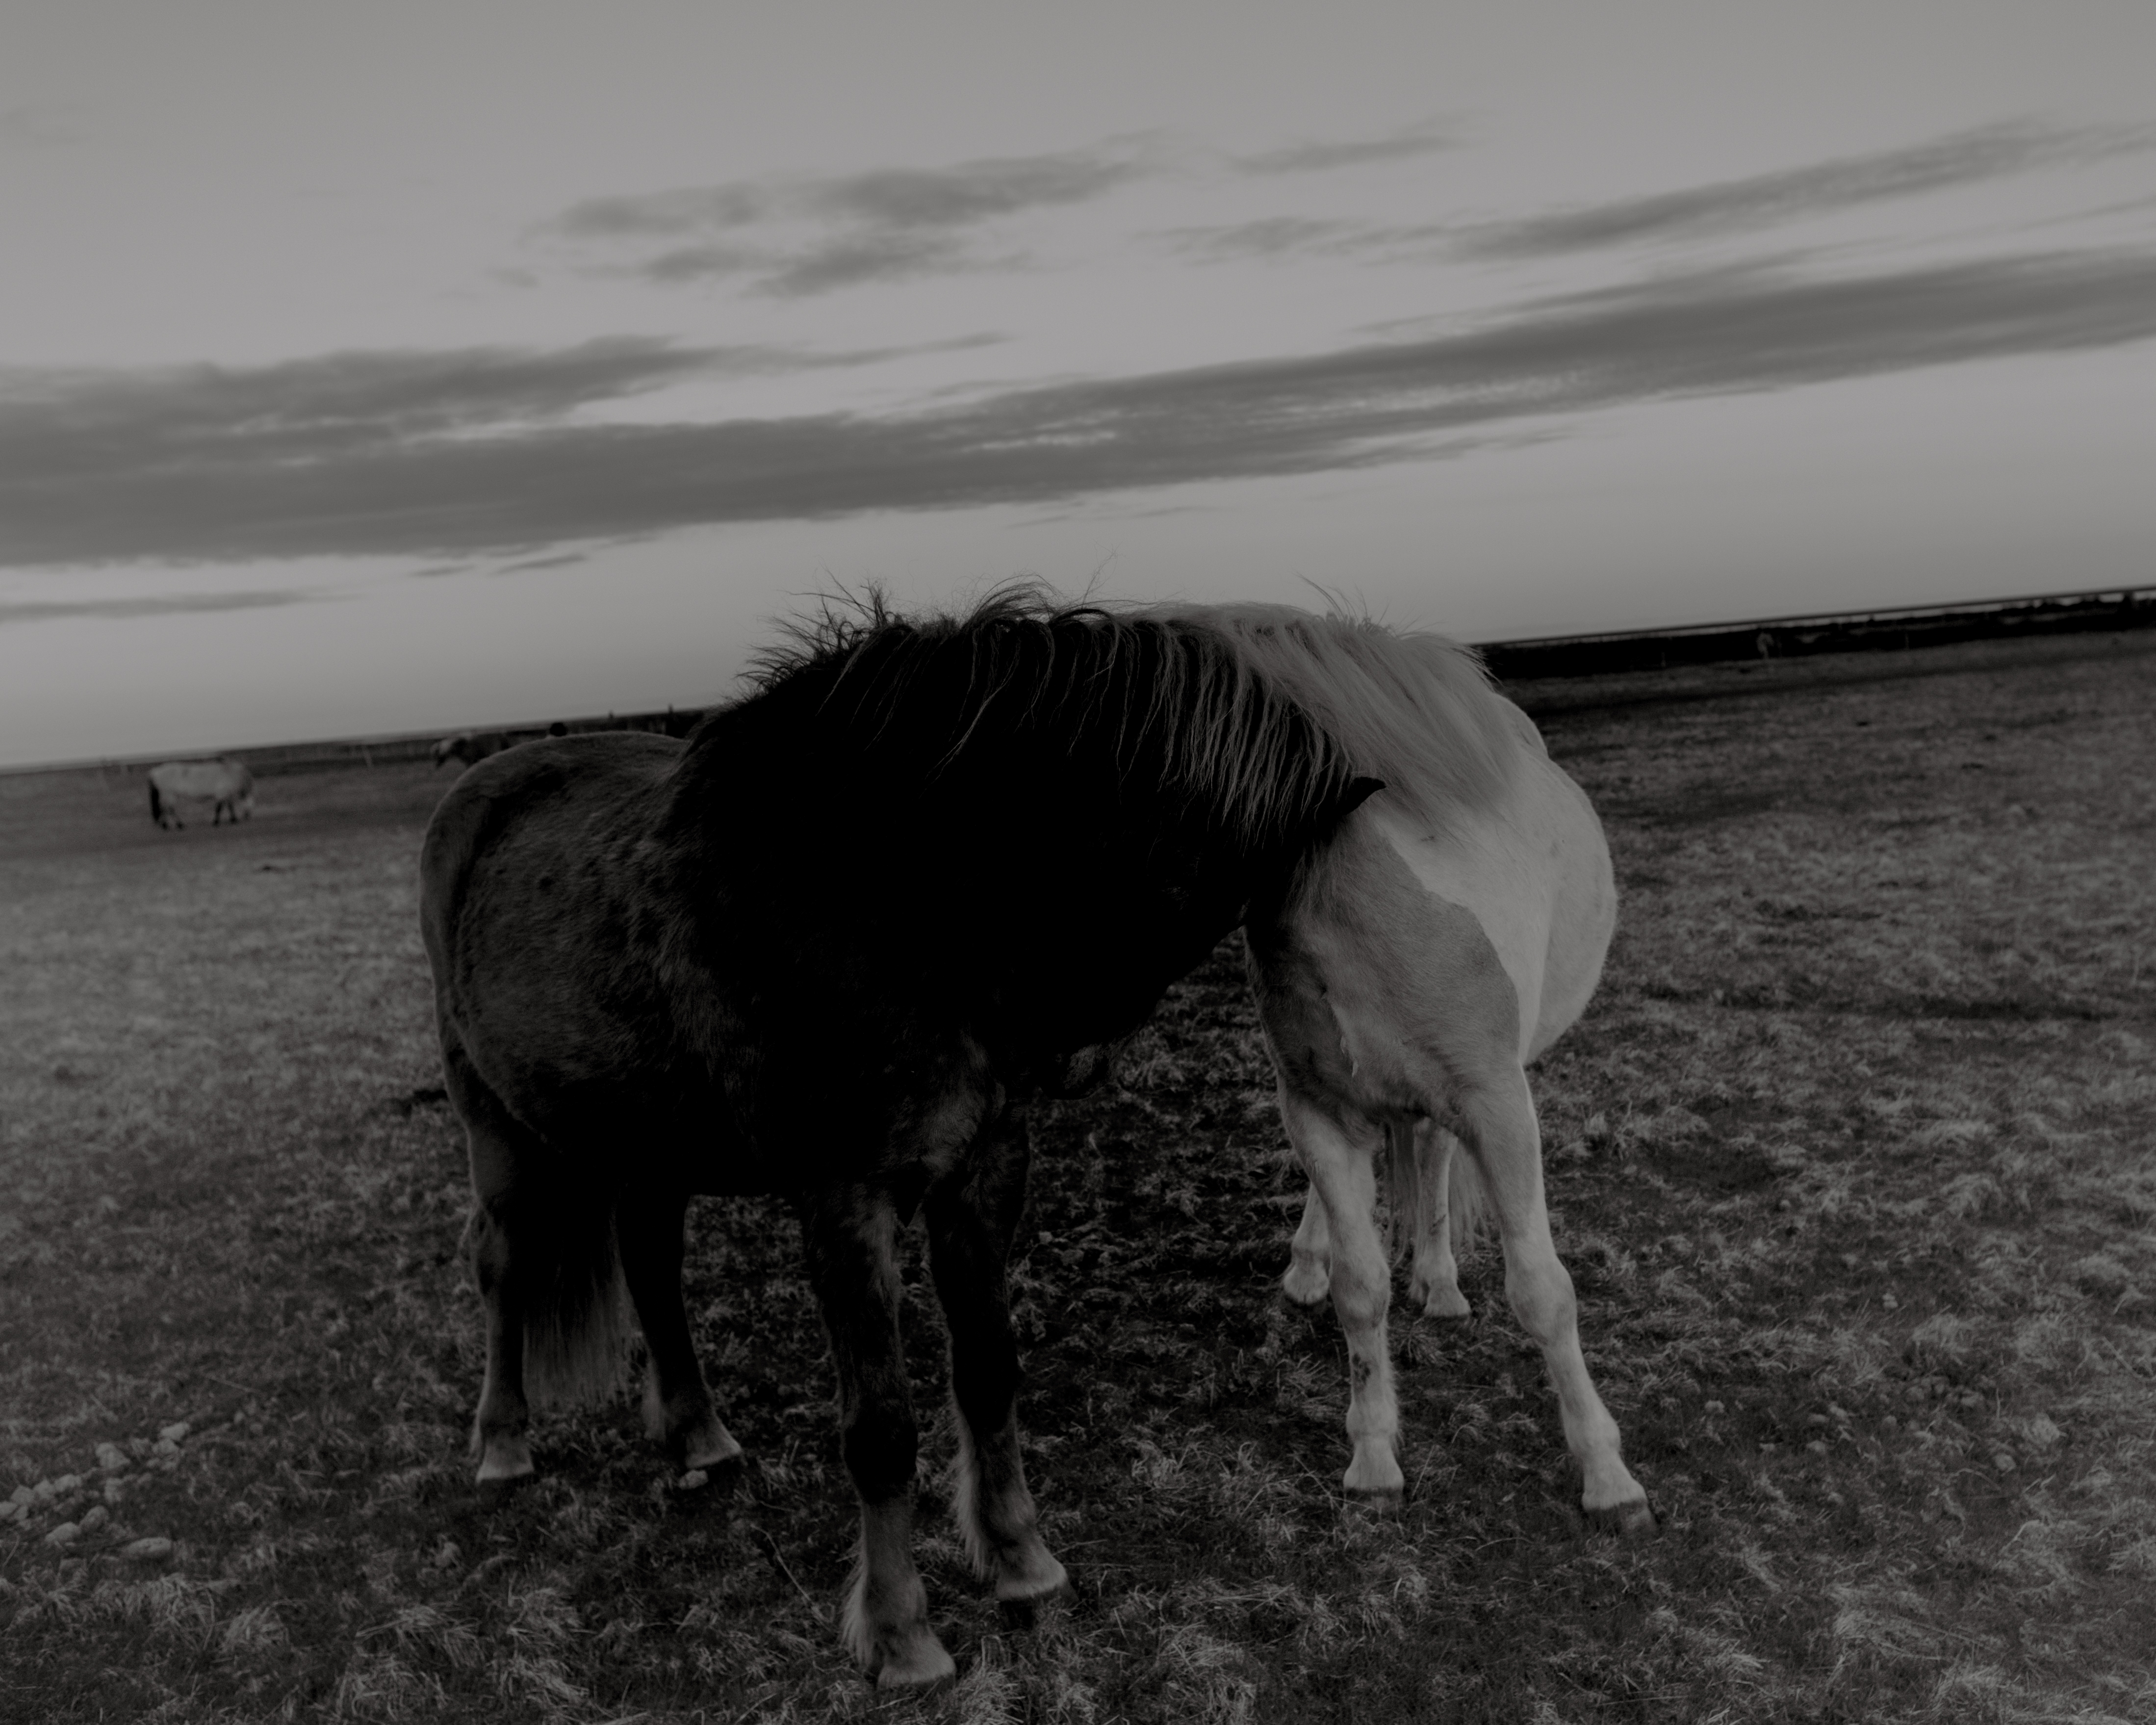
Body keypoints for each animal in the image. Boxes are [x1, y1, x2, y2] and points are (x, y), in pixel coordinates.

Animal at [146, 757, 254, 829]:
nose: (248, 816)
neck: (231, 772)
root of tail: (155, 772)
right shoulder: (222, 793)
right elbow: (219, 808)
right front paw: (216, 822)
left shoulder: (225, 794)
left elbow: (229, 806)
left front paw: (233, 819)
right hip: (169, 795)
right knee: (168, 809)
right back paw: (177, 825)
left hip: (169, 796)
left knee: (165, 809)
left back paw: (167, 825)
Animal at [418, 591, 1646, 1687]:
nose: (1064, 1053)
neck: (879, 900)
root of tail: (479, 785)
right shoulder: (842, 1196)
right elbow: (882, 1424)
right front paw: (904, 1638)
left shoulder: (981, 1167)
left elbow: (989, 1373)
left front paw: (1019, 1564)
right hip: (494, 1115)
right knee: (503, 1262)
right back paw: (504, 1441)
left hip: (647, 1137)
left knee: (652, 1263)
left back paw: (696, 1439)